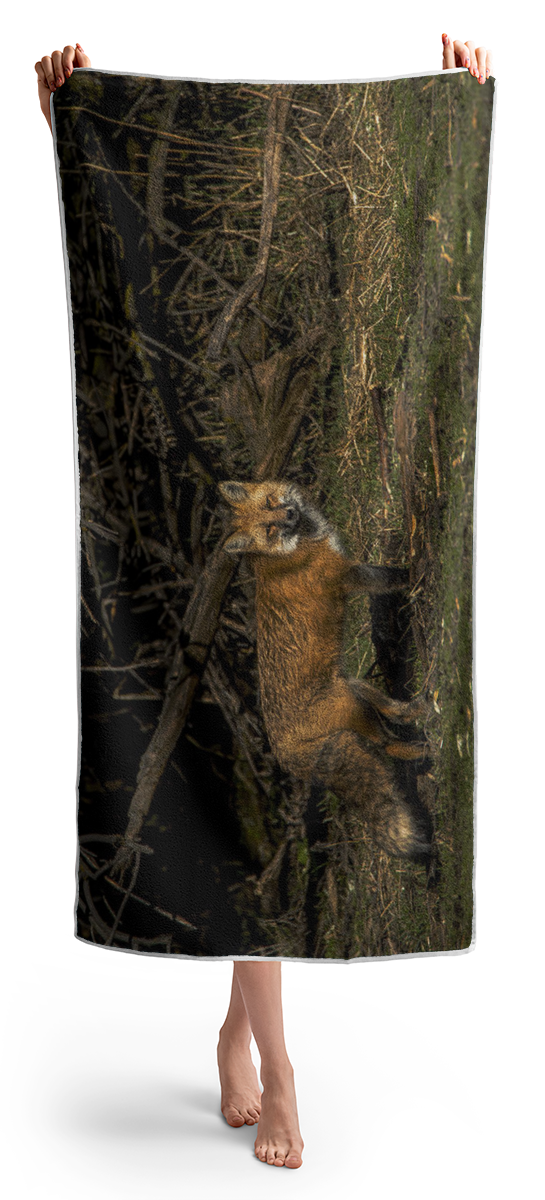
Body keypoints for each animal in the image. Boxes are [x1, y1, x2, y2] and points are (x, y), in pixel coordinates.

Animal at [218, 479, 431, 859]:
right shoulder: (349, 575)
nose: (290, 513)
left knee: (394, 712)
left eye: (270, 503)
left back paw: (418, 710)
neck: (292, 550)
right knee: (388, 745)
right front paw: (416, 572)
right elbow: (393, 577)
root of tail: (282, 752)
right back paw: (423, 752)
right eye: (269, 529)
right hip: (353, 708)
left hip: (353, 687)